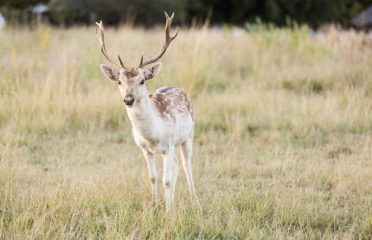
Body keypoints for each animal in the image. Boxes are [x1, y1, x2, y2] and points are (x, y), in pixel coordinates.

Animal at [96, 12, 201, 213]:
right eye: (119, 81)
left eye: (142, 80)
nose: (128, 99)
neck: (153, 135)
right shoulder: (144, 148)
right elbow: (153, 177)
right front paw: (155, 205)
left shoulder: (169, 145)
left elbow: (166, 180)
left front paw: (169, 213)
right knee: (176, 167)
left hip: (189, 135)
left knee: (186, 166)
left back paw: (195, 201)